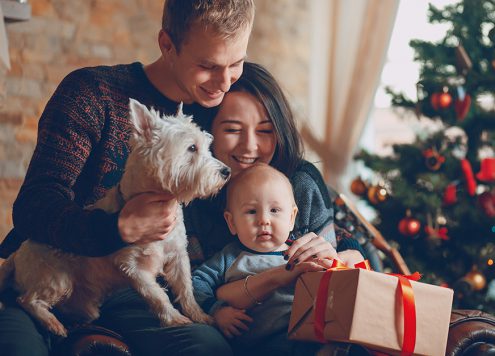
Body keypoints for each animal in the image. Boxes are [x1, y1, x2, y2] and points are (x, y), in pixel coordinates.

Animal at [0, 98, 231, 336]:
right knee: (26, 300)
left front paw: (200, 316)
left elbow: (186, 289)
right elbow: (157, 294)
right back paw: (53, 324)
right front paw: (175, 319)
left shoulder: (178, 257)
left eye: (206, 146)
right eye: (192, 148)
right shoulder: (133, 267)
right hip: (55, 277)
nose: (227, 172)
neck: (161, 202)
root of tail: (16, 254)